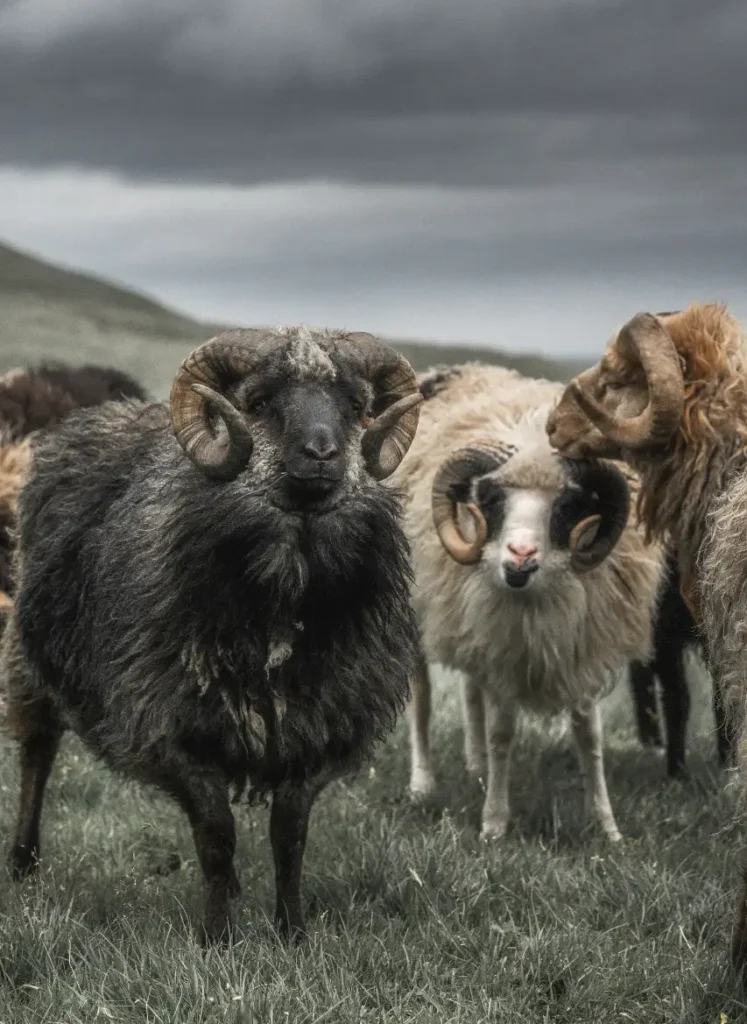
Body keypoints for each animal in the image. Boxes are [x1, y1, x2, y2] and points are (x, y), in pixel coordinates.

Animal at [1, 325, 423, 943]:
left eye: (354, 406)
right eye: (259, 402)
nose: (322, 454)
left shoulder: (318, 731)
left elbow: (289, 836)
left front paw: (292, 931)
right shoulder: (171, 726)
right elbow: (216, 834)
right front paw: (218, 938)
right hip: (29, 658)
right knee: (38, 752)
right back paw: (23, 862)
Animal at [391, 363, 663, 842]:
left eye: (570, 504)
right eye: (491, 499)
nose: (520, 557)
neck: (535, 603)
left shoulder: (578, 646)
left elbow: (589, 738)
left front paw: (607, 826)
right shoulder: (505, 653)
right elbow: (502, 734)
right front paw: (494, 823)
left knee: (470, 690)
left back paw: (475, 764)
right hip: (418, 609)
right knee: (421, 696)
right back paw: (423, 783)